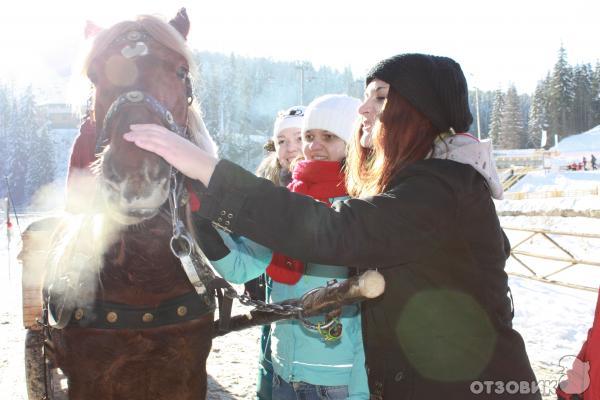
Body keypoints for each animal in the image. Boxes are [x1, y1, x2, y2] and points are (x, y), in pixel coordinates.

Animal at [44, 10, 219, 400]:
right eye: (95, 75)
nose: (135, 178)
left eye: (180, 71)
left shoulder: (188, 375)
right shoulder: (87, 379)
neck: (143, 277)